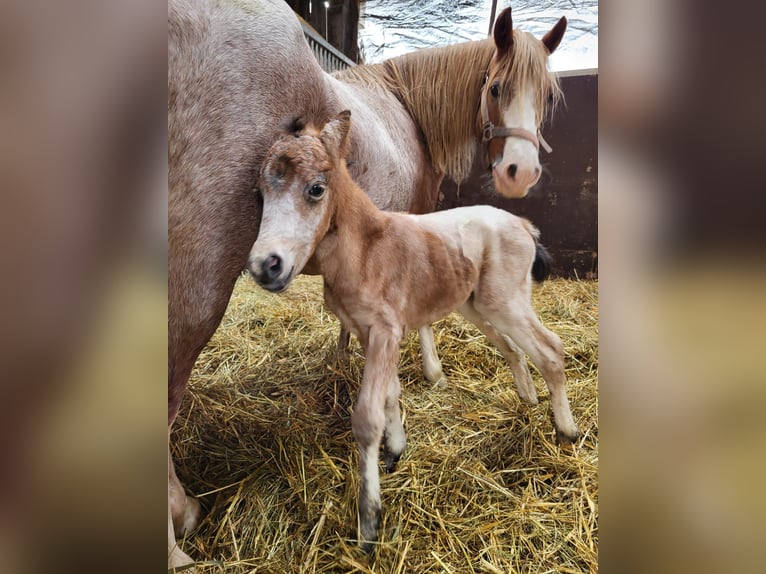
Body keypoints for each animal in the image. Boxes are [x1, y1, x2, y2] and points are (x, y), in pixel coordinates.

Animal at [252, 111, 584, 548]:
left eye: (316, 189)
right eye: (259, 193)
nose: (264, 266)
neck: (366, 249)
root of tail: (523, 225)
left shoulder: (384, 331)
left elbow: (367, 417)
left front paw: (369, 521)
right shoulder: (369, 333)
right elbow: (391, 393)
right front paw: (395, 449)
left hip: (506, 301)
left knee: (551, 349)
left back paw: (566, 431)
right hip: (477, 304)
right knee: (514, 348)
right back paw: (528, 400)